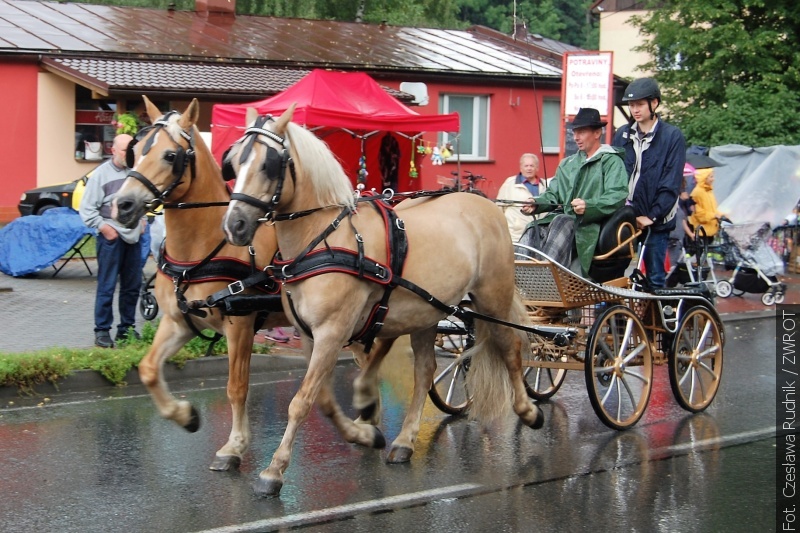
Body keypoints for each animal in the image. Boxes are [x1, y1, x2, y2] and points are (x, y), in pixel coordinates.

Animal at [111, 97, 388, 472]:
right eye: (136, 150)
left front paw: (234, 446)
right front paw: (185, 415)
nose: (123, 205)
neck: (204, 245)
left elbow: (237, 386)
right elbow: (149, 369)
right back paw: (366, 428)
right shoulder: (179, 321)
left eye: (170, 155)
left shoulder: (239, 325)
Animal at [220, 106, 544, 496]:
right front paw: (364, 433)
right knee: (425, 372)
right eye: (233, 162)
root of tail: (485, 203)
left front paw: (273, 470)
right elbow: (322, 400)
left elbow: (301, 402)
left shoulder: (332, 332)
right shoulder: (312, 336)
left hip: (493, 296)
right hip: (427, 312)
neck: (325, 238)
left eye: (269, 164)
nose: (234, 225)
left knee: (511, 349)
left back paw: (528, 410)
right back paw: (404, 440)